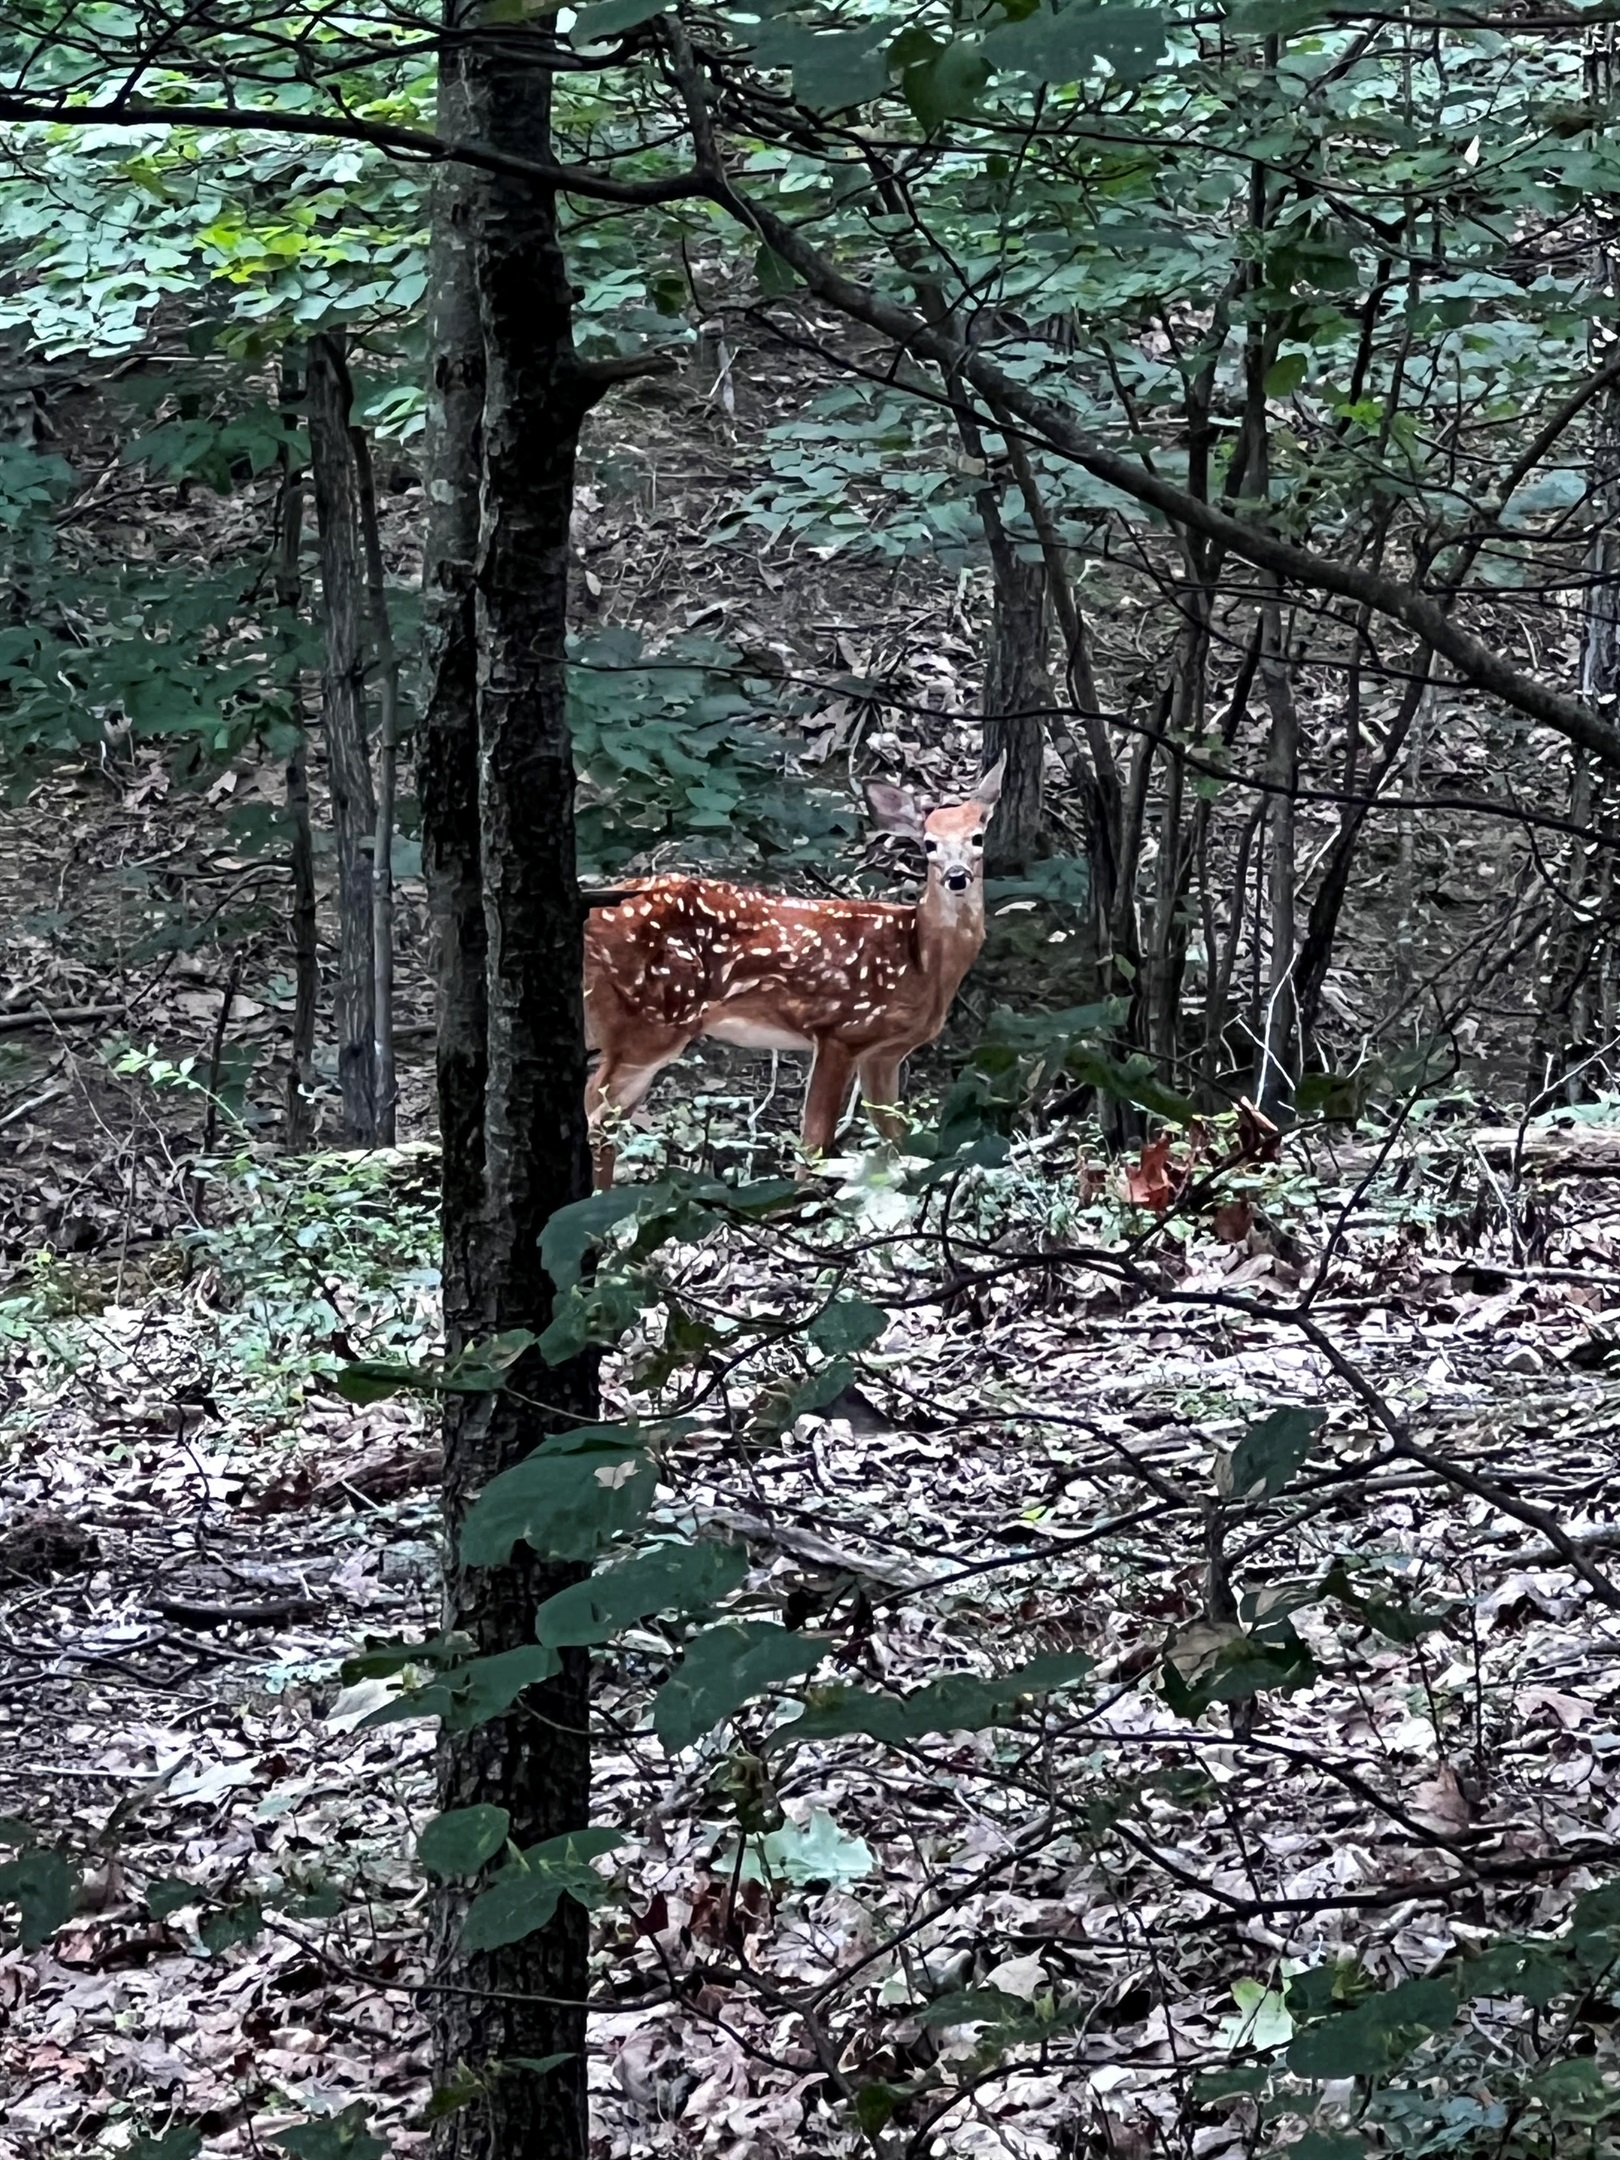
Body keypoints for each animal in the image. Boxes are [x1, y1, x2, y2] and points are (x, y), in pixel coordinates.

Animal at [583, 755, 1005, 1186]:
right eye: (929, 843)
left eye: (977, 838)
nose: (957, 876)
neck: (920, 961)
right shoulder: (840, 1030)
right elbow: (815, 1141)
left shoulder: (885, 1053)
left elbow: (895, 1135)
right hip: (653, 1018)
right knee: (596, 1116)